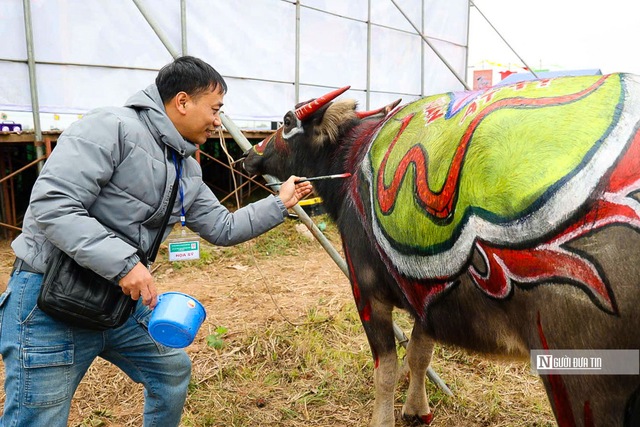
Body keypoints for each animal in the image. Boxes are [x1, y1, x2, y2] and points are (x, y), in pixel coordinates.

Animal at [242, 74, 640, 427]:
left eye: (287, 122)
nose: (248, 156)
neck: (350, 164)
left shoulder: (367, 291)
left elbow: (387, 368)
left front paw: (384, 419)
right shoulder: (428, 295)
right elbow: (420, 354)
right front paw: (417, 410)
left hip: (580, 380)